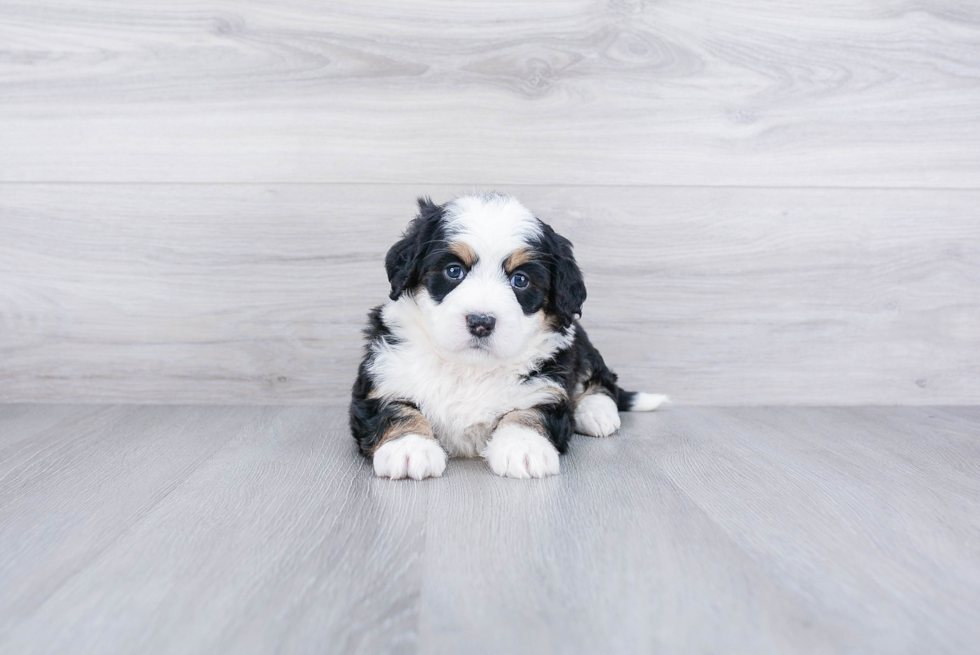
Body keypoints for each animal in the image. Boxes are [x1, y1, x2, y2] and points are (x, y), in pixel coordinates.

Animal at [348, 192, 664, 480]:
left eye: (520, 280)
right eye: (453, 271)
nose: (481, 322)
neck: (470, 369)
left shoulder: (547, 381)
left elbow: (528, 410)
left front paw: (523, 447)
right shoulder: (383, 374)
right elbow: (394, 407)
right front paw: (409, 447)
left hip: (580, 341)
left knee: (600, 378)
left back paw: (596, 412)